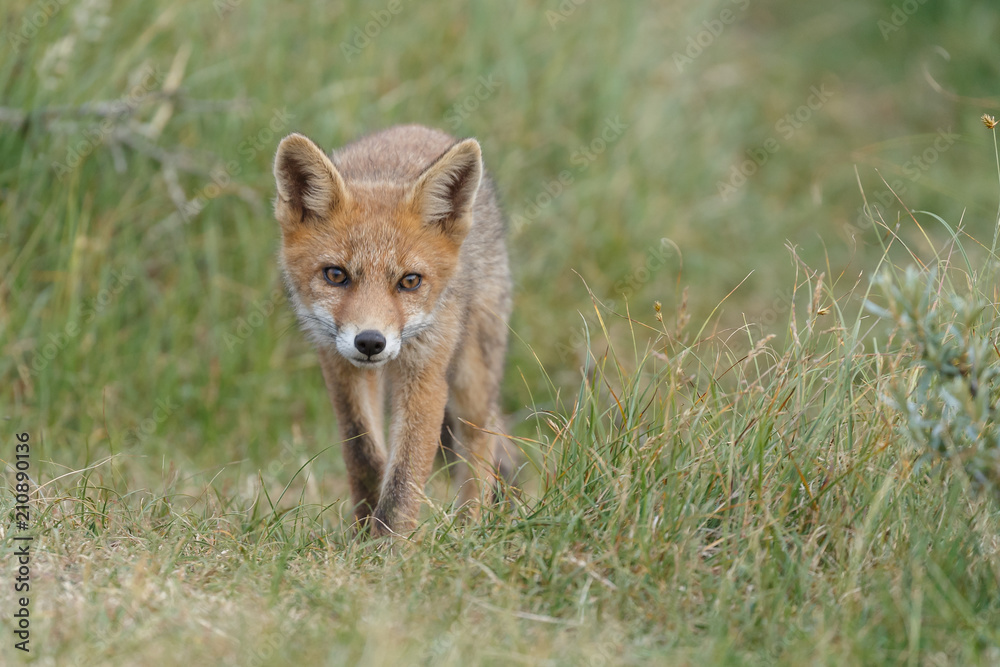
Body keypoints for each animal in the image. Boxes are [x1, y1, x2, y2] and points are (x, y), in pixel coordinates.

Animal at [272, 122, 512, 536]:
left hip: (472, 377)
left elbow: (405, 475)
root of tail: (415, 127)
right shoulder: (339, 366)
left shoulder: (426, 374)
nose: (370, 342)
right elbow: (365, 454)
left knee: (482, 439)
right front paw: (364, 530)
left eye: (410, 281)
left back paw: (469, 527)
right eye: (336, 275)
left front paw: (390, 543)